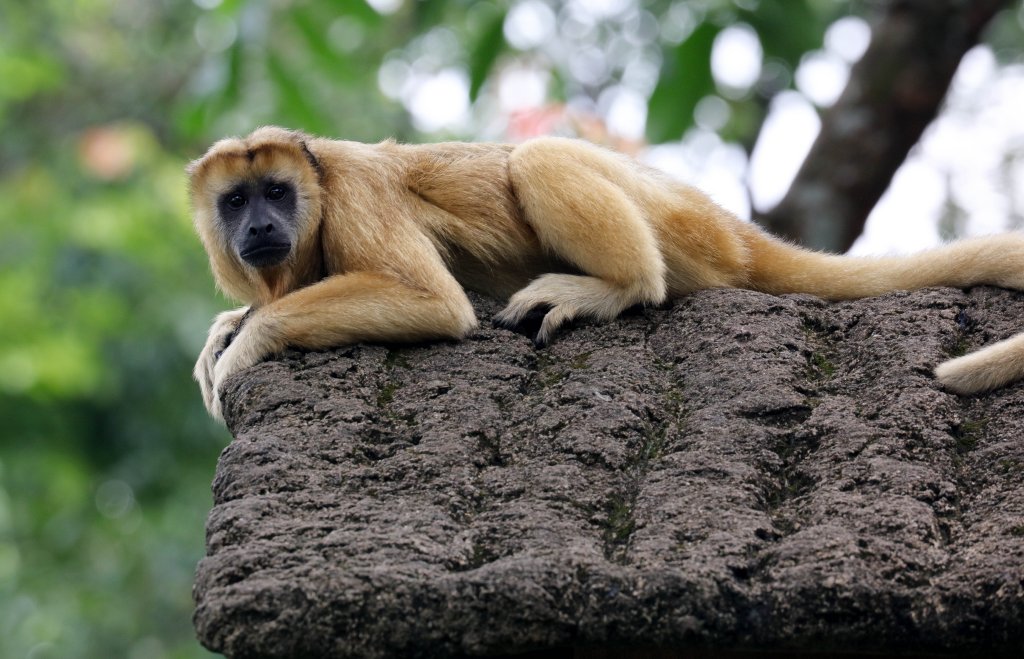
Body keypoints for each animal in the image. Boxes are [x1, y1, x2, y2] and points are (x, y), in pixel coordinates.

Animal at [190, 126, 1024, 421]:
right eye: (235, 200)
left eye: (276, 192)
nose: (258, 226)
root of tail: (730, 225)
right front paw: (227, 325)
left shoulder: (358, 191)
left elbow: (434, 302)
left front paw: (247, 342)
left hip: (682, 229)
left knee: (538, 158)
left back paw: (614, 287)